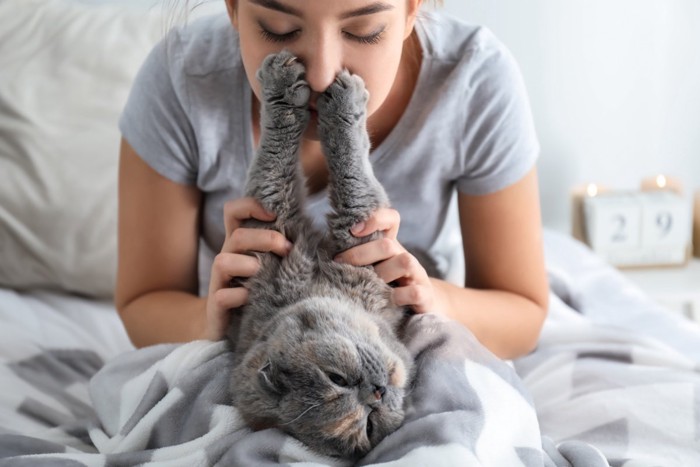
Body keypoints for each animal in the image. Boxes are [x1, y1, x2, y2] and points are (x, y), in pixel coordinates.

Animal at [228, 51, 416, 460]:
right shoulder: (361, 236)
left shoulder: (268, 232)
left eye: (336, 377)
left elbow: (274, 160)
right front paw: (345, 104)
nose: (377, 393)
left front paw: (282, 89)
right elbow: (352, 177)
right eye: (369, 425)